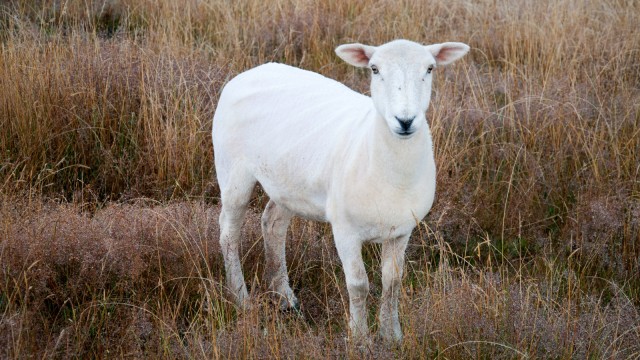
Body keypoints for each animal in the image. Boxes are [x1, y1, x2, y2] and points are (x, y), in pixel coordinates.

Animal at [212, 39, 468, 340]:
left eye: (430, 68)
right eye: (374, 69)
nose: (405, 120)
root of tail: (252, 71)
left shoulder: (402, 230)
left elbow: (393, 282)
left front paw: (391, 335)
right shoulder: (345, 229)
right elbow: (358, 284)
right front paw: (360, 338)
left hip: (288, 183)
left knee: (272, 223)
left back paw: (285, 296)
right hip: (232, 170)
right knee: (229, 234)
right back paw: (241, 298)